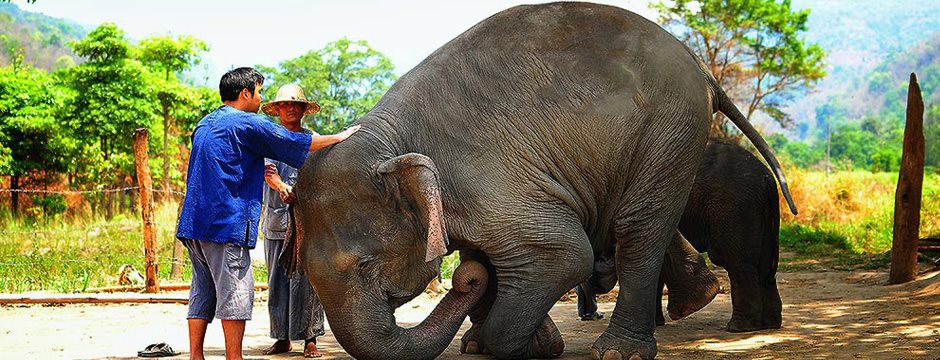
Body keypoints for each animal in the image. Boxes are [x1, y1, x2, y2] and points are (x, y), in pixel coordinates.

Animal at [576, 139, 788, 334]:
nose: (590, 314)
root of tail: (768, 179)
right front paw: (657, 323)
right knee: (764, 269)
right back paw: (769, 325)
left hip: (734, 209)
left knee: (737, 264)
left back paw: (738, 328)